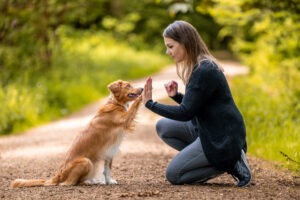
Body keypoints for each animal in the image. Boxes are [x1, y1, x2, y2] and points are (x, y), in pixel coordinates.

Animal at [10, 79, 143, 188]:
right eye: (128, 85)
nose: (141, 88)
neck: (116, 103)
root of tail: (58, 175)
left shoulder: (109, 151)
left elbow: (107, 169)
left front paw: (109, 181)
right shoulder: (124, 119)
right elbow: (134, 105)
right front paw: (143, 94)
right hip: (86, 161)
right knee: (69, 183)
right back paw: (87, 182)